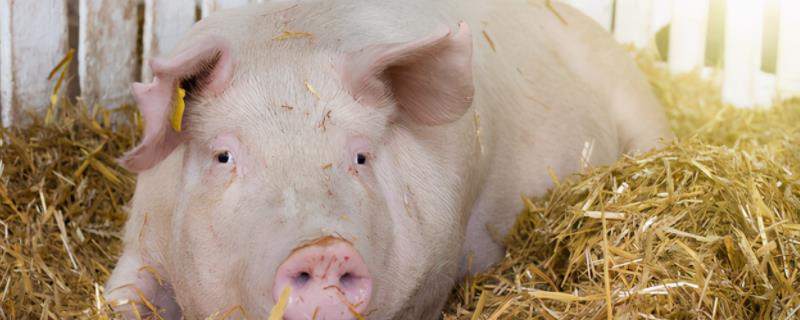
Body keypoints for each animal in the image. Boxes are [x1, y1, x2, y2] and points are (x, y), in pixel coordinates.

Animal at [103, 0, 672, 318]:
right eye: (223, 156)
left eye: (360, 156)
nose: (323, 251)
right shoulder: (143, 237)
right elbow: (121, 297)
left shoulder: (436, 267)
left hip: (640, 108)